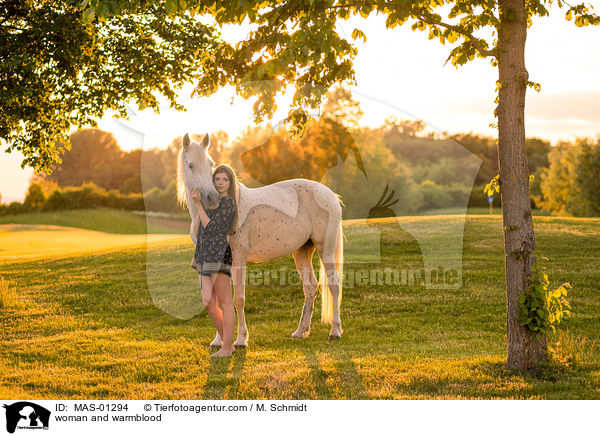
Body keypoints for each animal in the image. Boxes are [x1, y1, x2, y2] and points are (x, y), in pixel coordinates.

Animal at [177, 133, 342, 348]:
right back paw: (301, 331)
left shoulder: (238, 260)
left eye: (210, 164)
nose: (211, 197)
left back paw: (335, 331)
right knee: (310, 287)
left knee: (333, 285)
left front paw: (240, 339)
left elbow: (238, 299)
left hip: (326, 249)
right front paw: (218, 340)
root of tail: (330, 194)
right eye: (190, 165)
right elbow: (217, 300)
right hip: (302, 252)